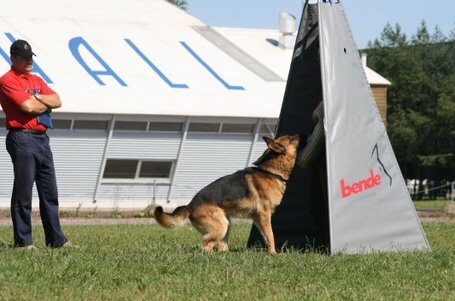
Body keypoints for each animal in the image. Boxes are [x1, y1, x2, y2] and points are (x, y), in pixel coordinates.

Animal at [155, 134, 304, 253]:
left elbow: (266, 236)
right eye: (291, 138)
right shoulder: (264, 214)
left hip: (227, 223)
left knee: (219, 246)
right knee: (206, 244)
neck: (270, 172)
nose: (302, 133)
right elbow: (271, 235)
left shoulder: (258, 218)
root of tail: (189, 206)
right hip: (221, 226)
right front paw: (273, 254)